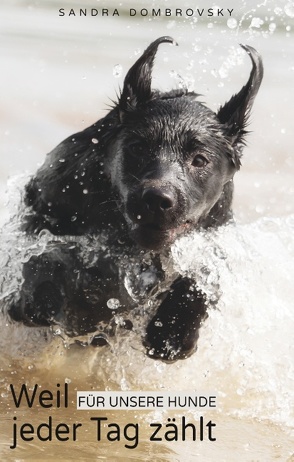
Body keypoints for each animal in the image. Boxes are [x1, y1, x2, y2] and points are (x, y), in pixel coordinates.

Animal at [8, 37, 262, 360]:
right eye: (139, 147)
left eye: (200, 160)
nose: (158, 199)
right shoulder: (48, 204)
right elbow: (46, 253)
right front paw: (43, 295)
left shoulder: (215, 232)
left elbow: (203, 271)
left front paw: (173, 331)